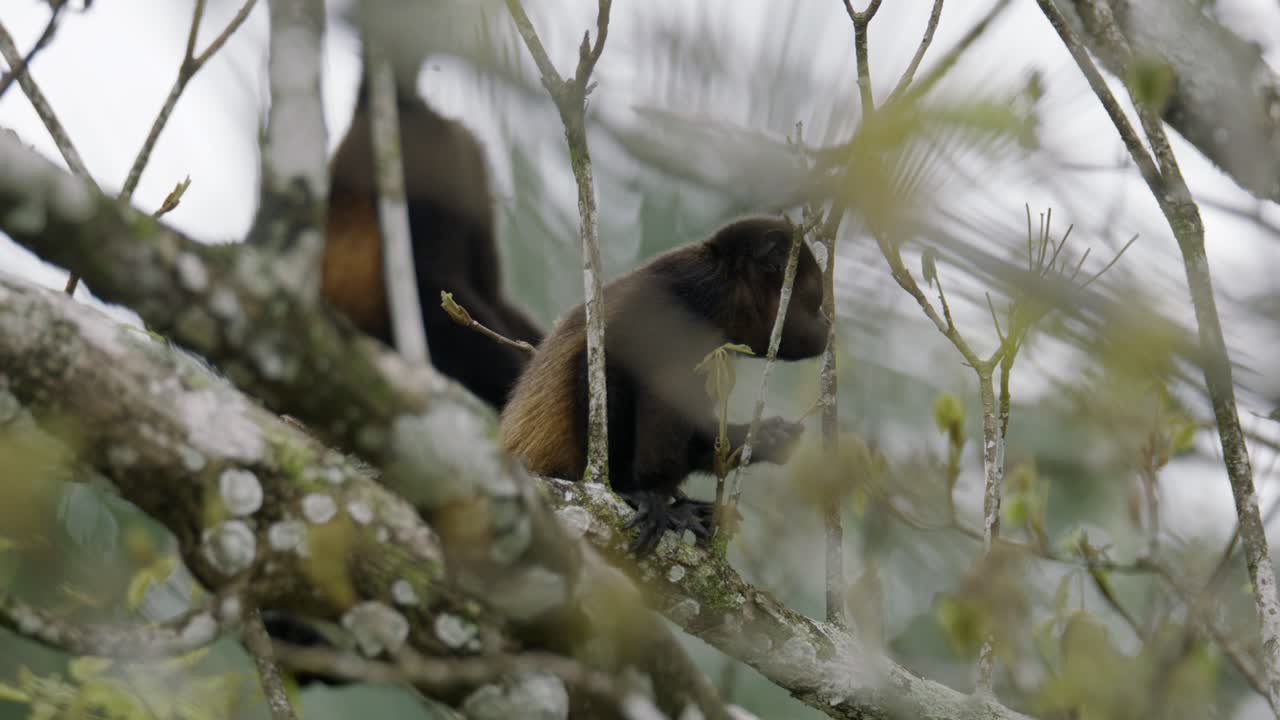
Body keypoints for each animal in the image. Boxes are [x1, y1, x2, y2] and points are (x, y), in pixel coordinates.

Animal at [500, 215, 830, 555]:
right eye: (816, 299)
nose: (827, 322)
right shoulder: (683, 299)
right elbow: (604, 362)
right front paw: (627, 489)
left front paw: (766, 436)